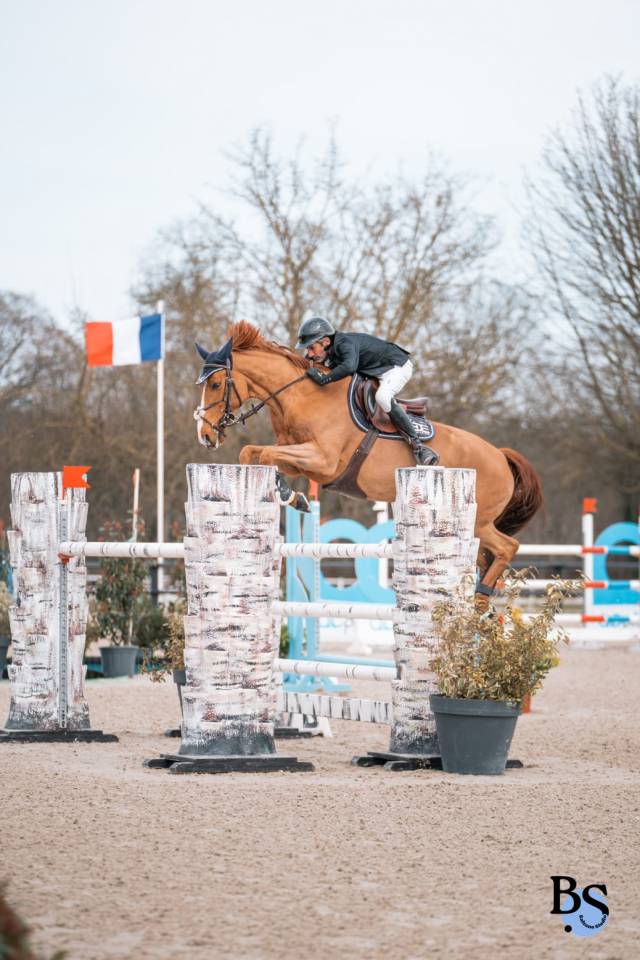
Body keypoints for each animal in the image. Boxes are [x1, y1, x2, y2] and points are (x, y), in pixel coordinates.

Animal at [193, 321, 543, 596]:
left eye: (215, 384)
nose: (205, 436)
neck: (301, 397)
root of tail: (501, 455)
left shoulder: (322, 461)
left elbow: (264, 453)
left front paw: (288, 494)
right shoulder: (299, 457)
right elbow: (252, 453)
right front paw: (293, 497)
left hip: (479, 519)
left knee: (507, 547)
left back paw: (481, 595)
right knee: (488, 555)